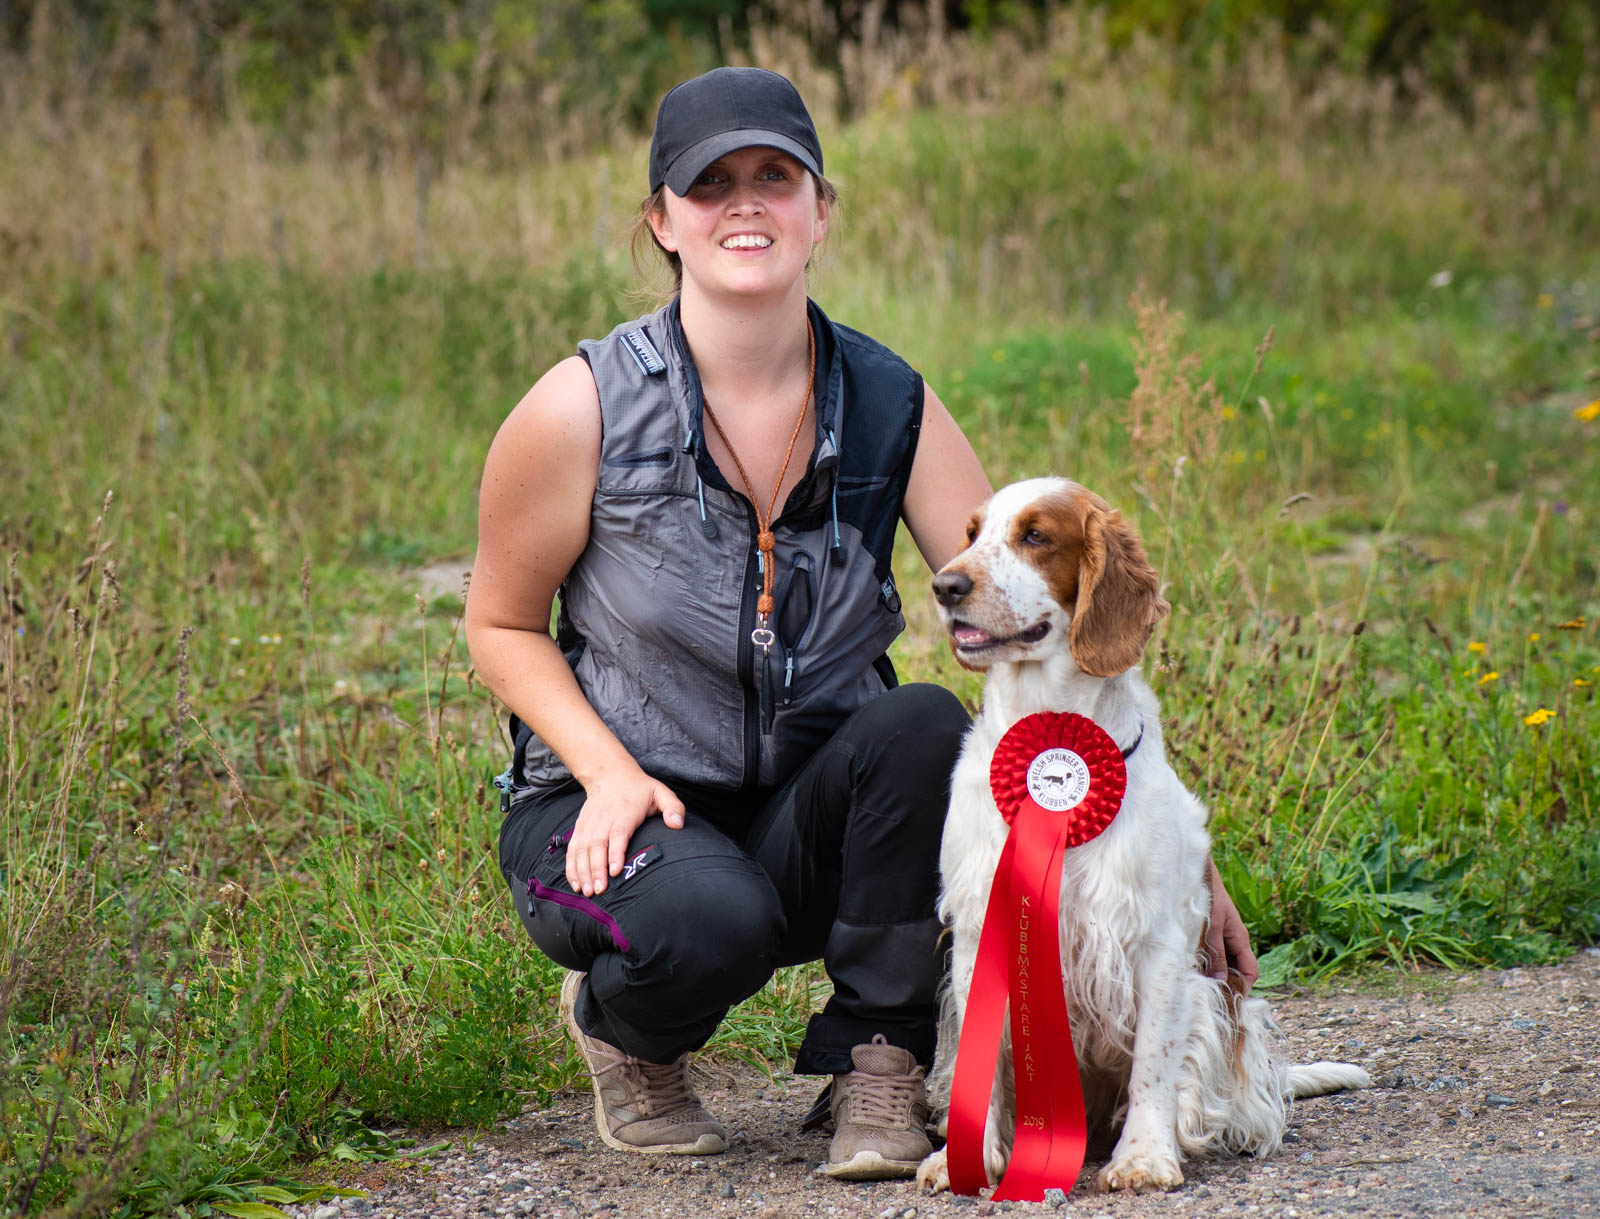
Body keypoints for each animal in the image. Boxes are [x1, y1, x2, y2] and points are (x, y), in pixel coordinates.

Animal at [921, 479, 1369, 1190]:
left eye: (1036, 535)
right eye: (971, 533)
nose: (946, 585)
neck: (1048, 729)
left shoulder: (1158, 942)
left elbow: (1154, 1063)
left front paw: (1144, 1157)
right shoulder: (975, 930)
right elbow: (979, 1058)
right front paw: (965, 1157)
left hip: (1220, 1003)